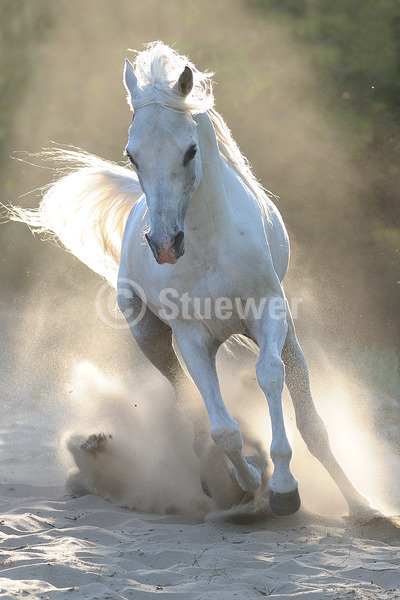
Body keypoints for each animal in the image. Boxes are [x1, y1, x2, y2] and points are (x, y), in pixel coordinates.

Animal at [10, 43, 378, 520]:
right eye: (132, 154)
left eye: (189, 151)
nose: (164, 244)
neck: (208, 248)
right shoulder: (190, 339)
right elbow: (223, 428)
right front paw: (249, 483)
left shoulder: (268, 315)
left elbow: (270, 378)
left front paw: (283, 488)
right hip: (151, 338)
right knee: (188, 402)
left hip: (286, 335)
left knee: (309, 415)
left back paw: (362, 506)